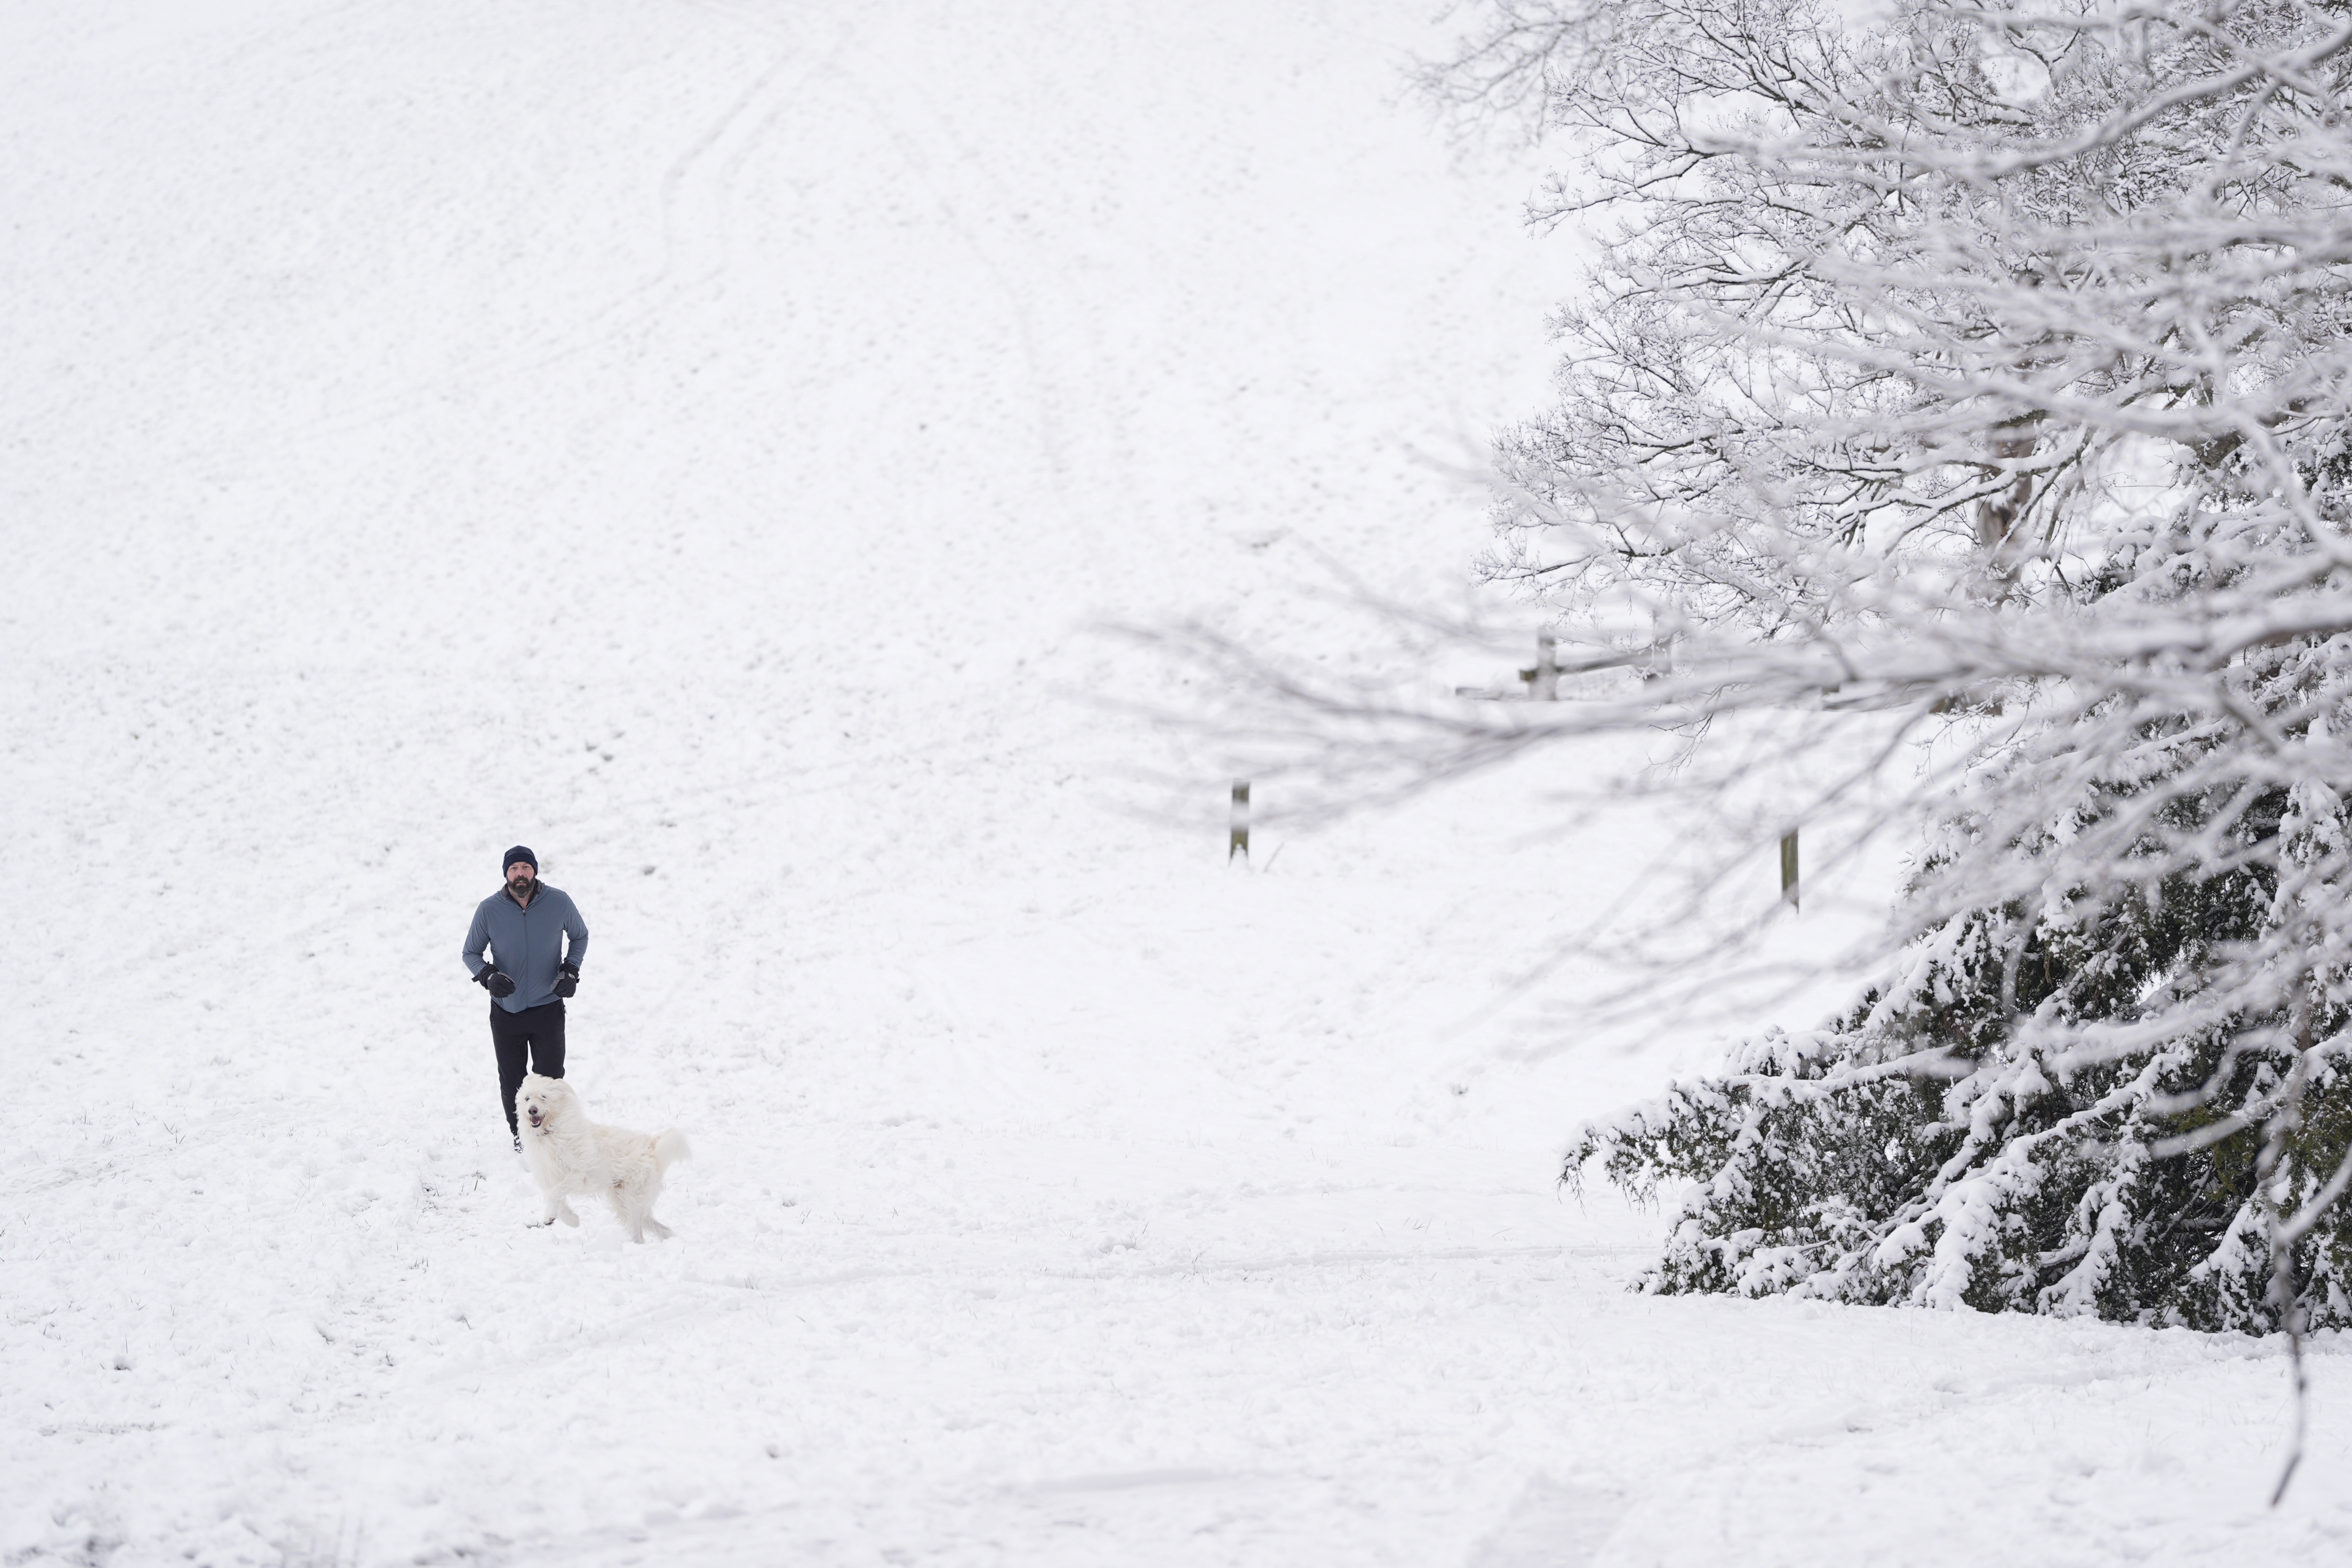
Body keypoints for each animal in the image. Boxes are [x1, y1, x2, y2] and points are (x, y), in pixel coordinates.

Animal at [515, 1072, 687, 1241]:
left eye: (544, 1097)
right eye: (527, 1098)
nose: (532, 1110)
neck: (550, 1133)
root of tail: (652, 1146)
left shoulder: (579, 1173)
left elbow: (555, 1193)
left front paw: (552, 1216)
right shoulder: (551, 1177)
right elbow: (555, 1197)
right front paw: (570, 1220)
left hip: (632, 1198)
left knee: (640, 1235)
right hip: (623, 1201)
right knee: (659, 1227)